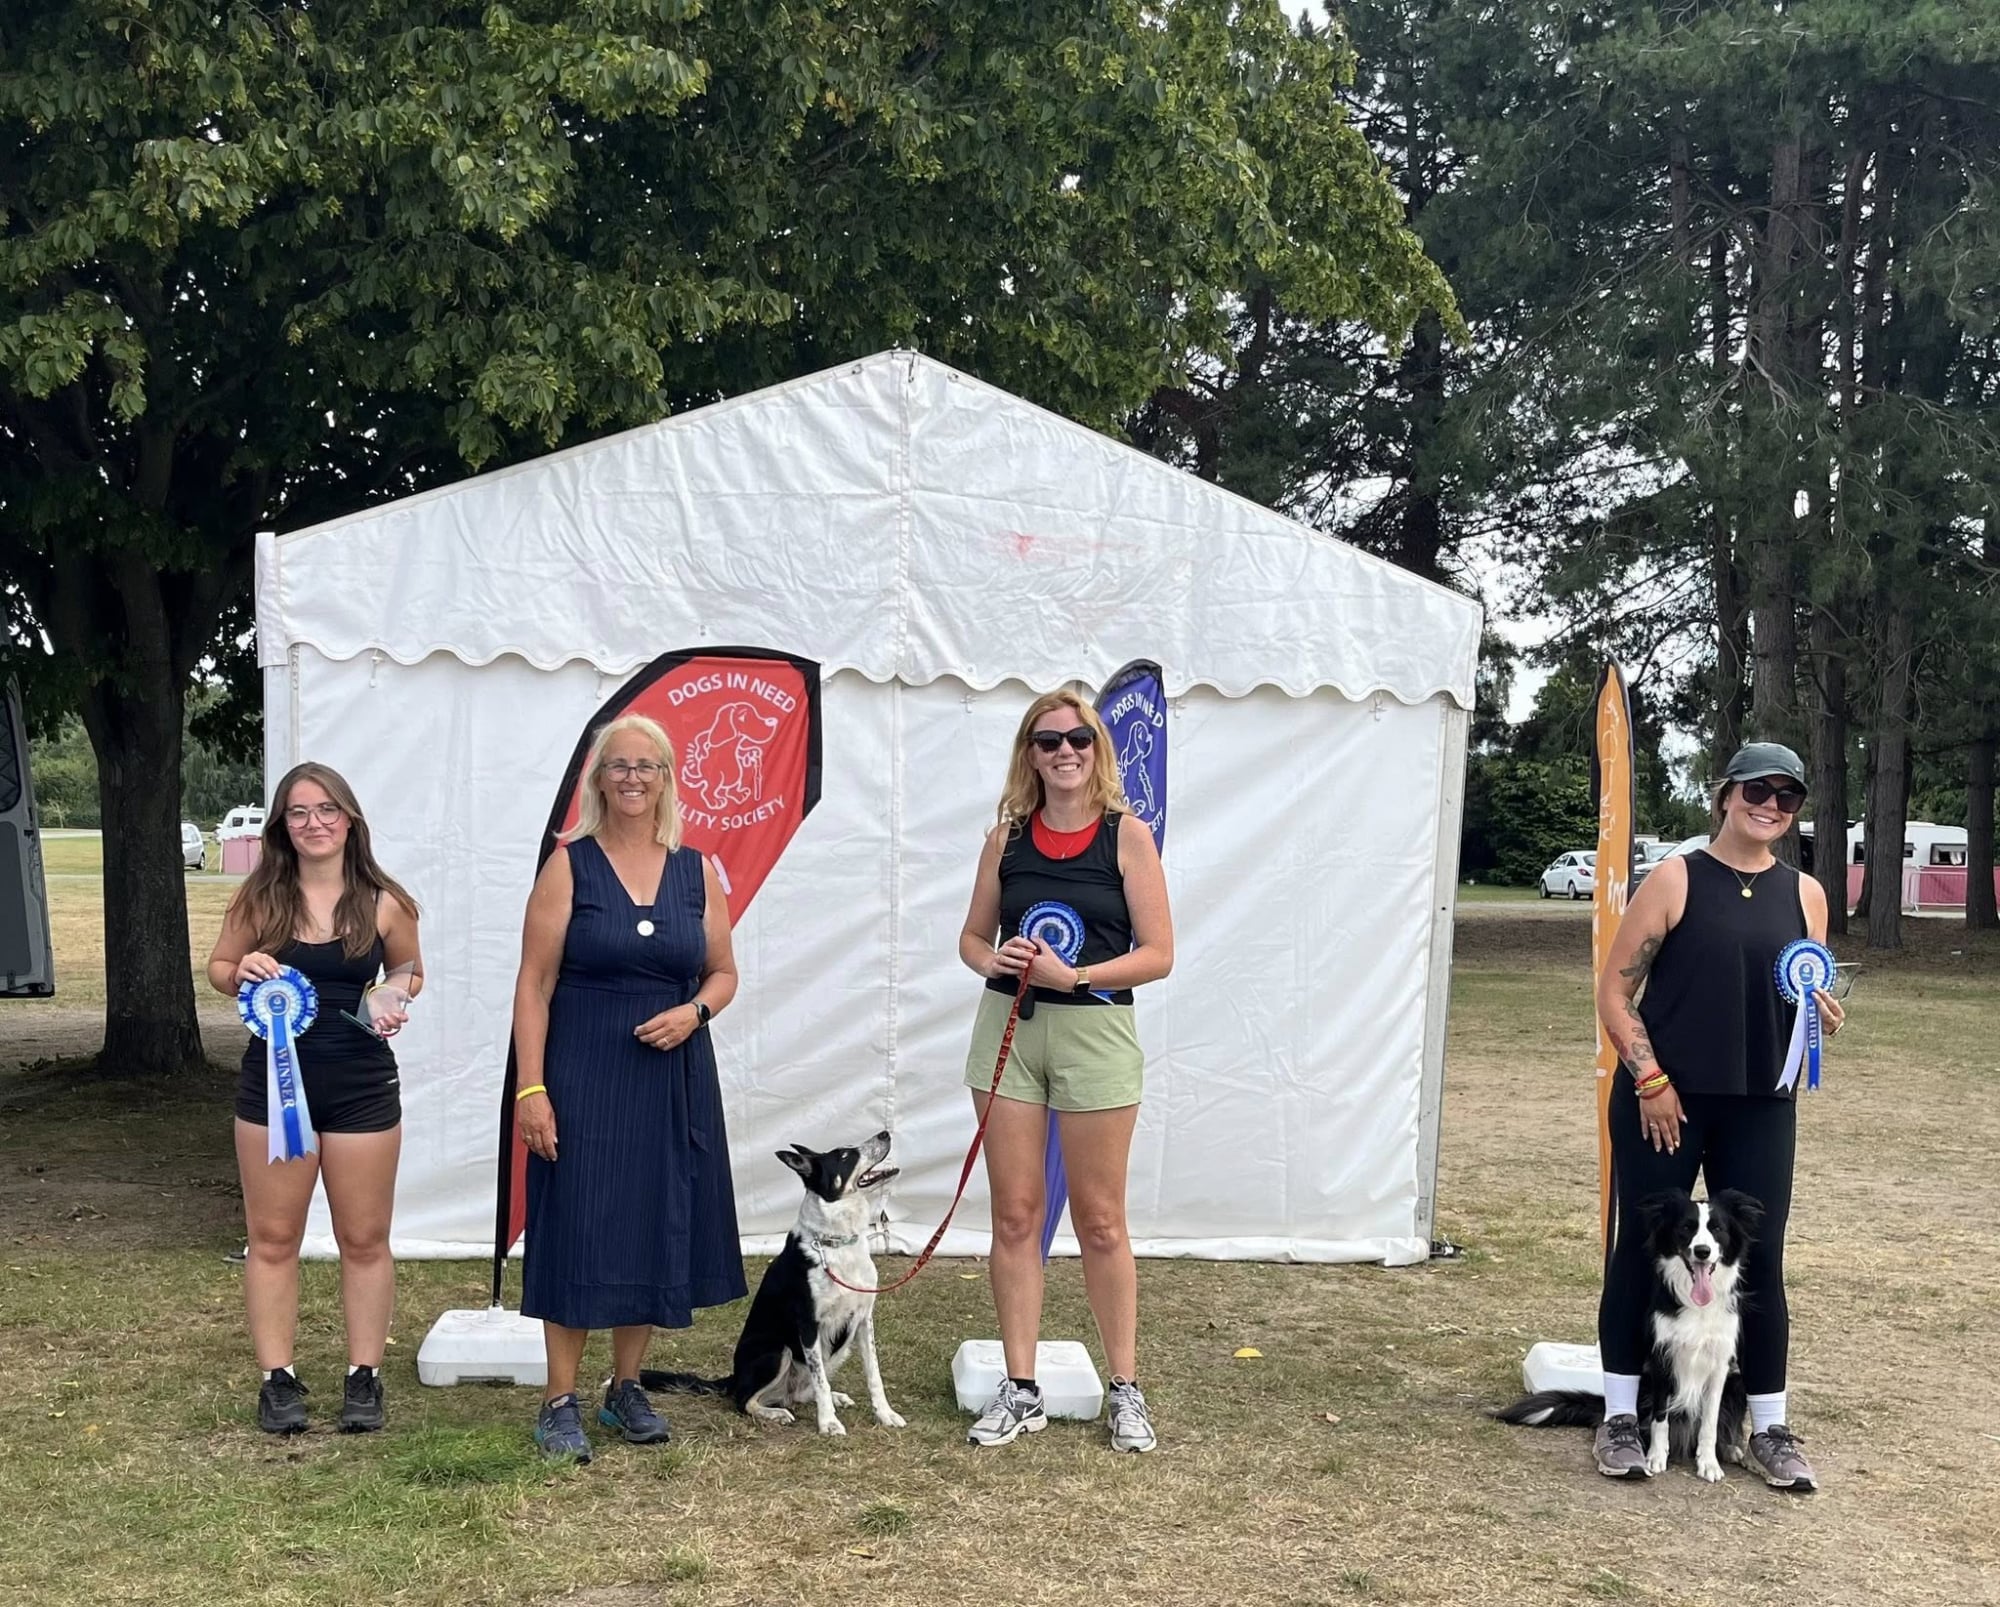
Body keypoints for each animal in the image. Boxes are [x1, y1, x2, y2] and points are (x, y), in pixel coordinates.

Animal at [642, 1131, 906, 1436]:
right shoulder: (808, 1325)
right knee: (745, 1400)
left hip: (837, 1348)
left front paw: (885, 1414)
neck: (837, 1243)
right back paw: (775, 1413)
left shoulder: (863, 1320)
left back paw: (832, 1397)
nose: (884, 1134)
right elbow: (820, 1381)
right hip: (778, 1350)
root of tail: (734, 1377)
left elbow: (873, 1374)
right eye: (844, 1155)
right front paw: (828, 1423)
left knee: (800, 1393)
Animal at [1496, 1188, 1764, 1481]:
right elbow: (1660, 1419)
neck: (1697, 1306)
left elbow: (1709, 1423)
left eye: (1717, 1229)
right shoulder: (1662, 1362)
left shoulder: (1720, 1367)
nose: (1702, 1252)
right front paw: (1656, 1457)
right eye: (1686, 1228)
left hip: (1737, 1382)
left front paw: (1708, 1463)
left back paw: (1730, 1450)